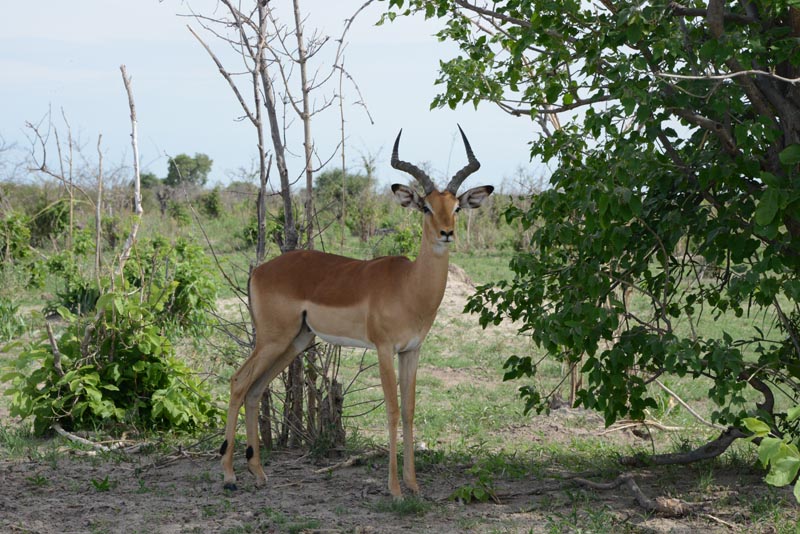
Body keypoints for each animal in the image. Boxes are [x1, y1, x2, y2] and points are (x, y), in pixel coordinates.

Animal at [220, 127, 494, 497]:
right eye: (425, 207)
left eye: (456, 208)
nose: (446, 233)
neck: (409, 286)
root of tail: (259, 271)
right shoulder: (383, 348)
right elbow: (392, 410)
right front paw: (394, 488)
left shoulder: (412, 350)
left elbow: (409, 410)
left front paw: (413, 484)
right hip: (272, 339)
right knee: (238, 382)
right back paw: (229, 476)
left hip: (295, 341)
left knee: (255, 389)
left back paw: (259, 473)